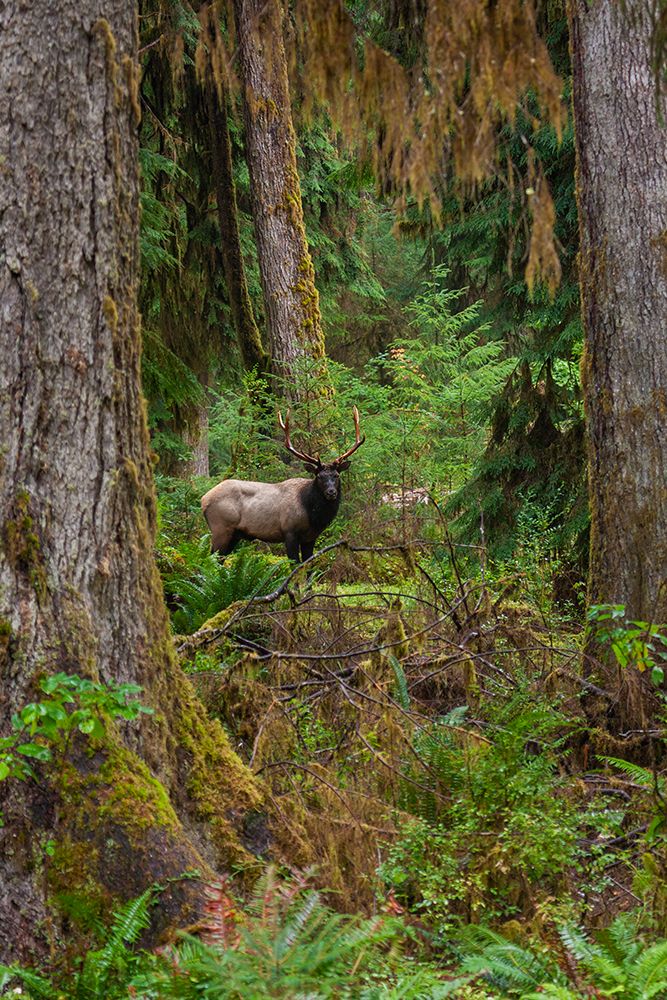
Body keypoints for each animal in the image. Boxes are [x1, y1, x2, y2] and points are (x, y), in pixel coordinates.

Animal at [201, 407, 365, 562]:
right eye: (319, 476)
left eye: (336, 475)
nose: (331, 492)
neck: (312, 513)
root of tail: (203, 500)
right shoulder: (289, 531)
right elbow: (295, 563)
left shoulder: (310, 537)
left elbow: (307, 565)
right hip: (221, 528)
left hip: (234, 535)